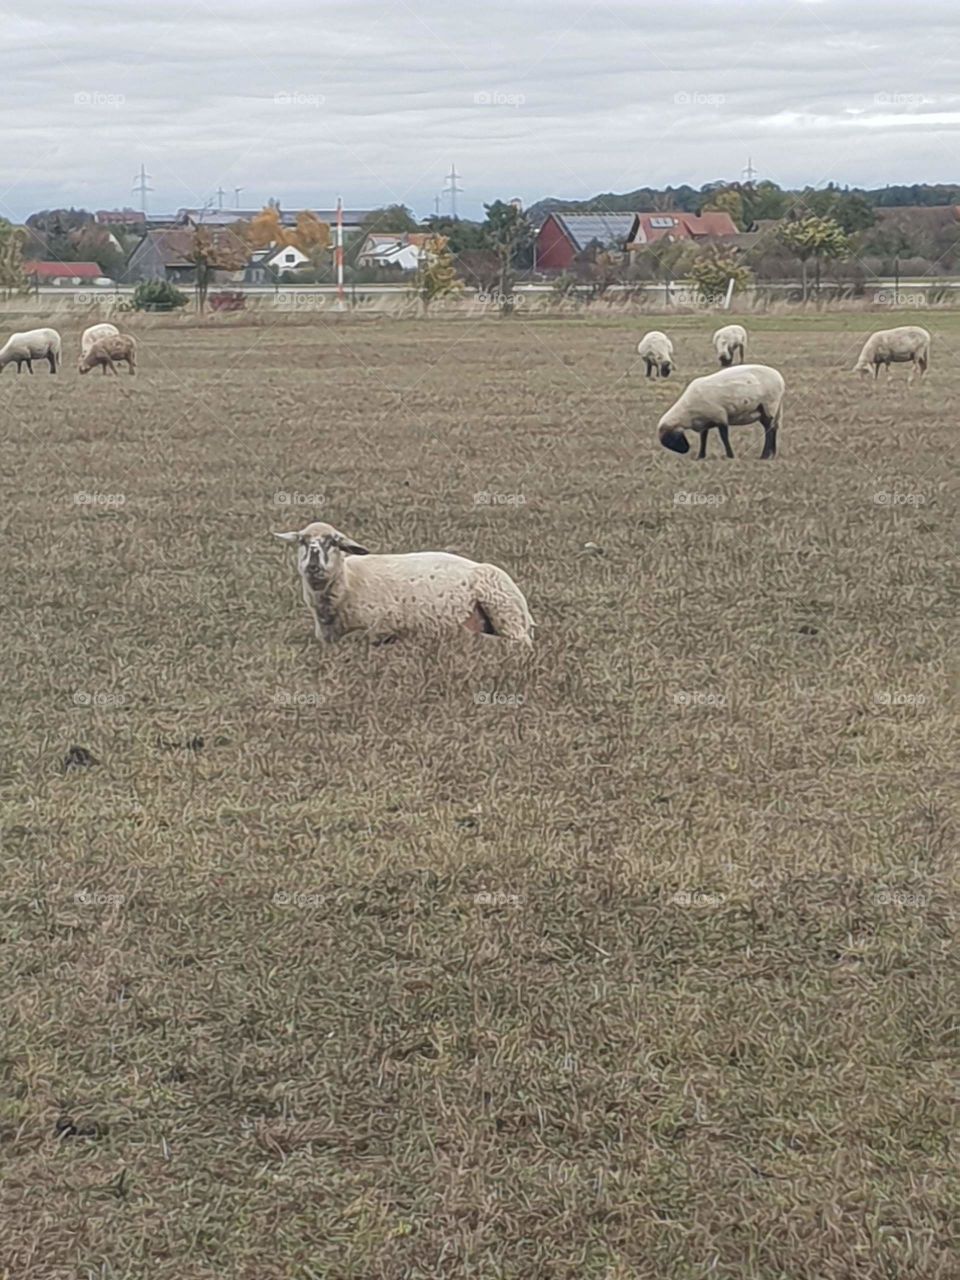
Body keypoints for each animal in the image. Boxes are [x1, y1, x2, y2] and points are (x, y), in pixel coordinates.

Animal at [273, 521, 534, 647]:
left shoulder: (375, 630)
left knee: (518, 642)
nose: (313, 563)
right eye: (302, 541)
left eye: (333, 542)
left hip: (503, 609)